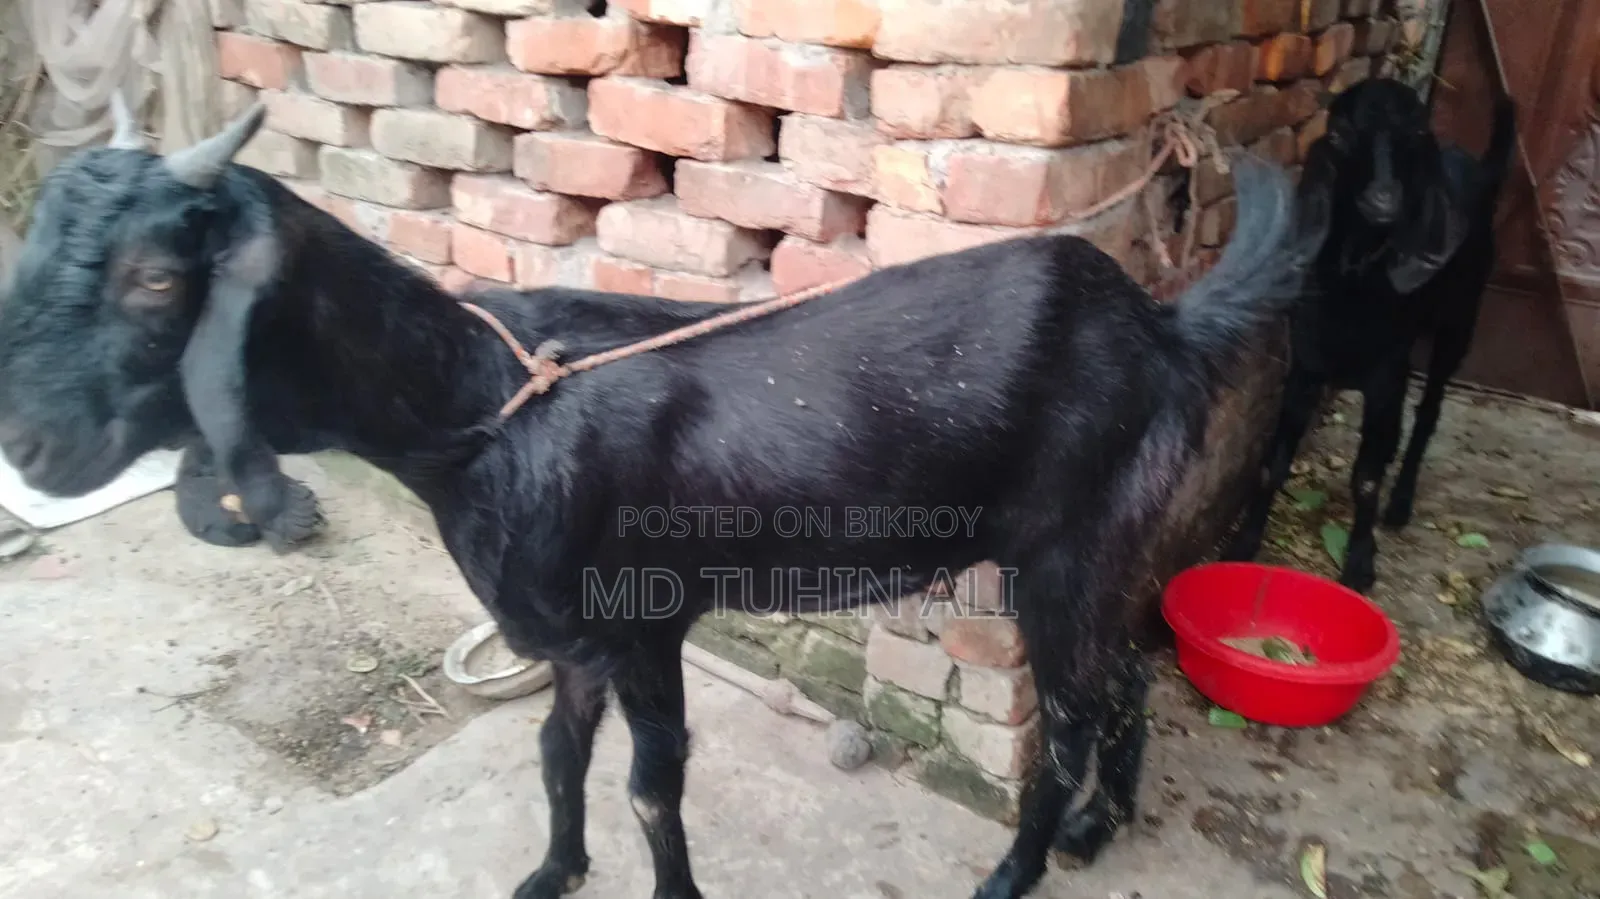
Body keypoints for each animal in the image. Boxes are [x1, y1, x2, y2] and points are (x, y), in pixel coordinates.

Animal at [0, 101, 1322, 899]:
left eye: (156, 276)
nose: (28, 440)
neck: (486, 412)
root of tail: (1157, 323)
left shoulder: (644, 626)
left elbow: (650, 783)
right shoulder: (574, 637)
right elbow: (553, 754)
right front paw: (550, 871)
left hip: (1063, 543)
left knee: (1066, 710)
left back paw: (1019, 866)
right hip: (1114, 534)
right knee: (1126, 670)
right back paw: (1102, 825)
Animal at [1223, 77, 1517, 592]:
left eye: (1417, 134)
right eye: (1340, 135)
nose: (1382, 202)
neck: (1355, 285)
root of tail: (1480, 172)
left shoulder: (1385, 374)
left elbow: (1365, 478)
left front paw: (1359, 562)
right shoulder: (1307, 367)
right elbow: (1273, 463)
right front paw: (1244, 542)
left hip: (1458, 324)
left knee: (1428, 412)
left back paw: (1399, 504)